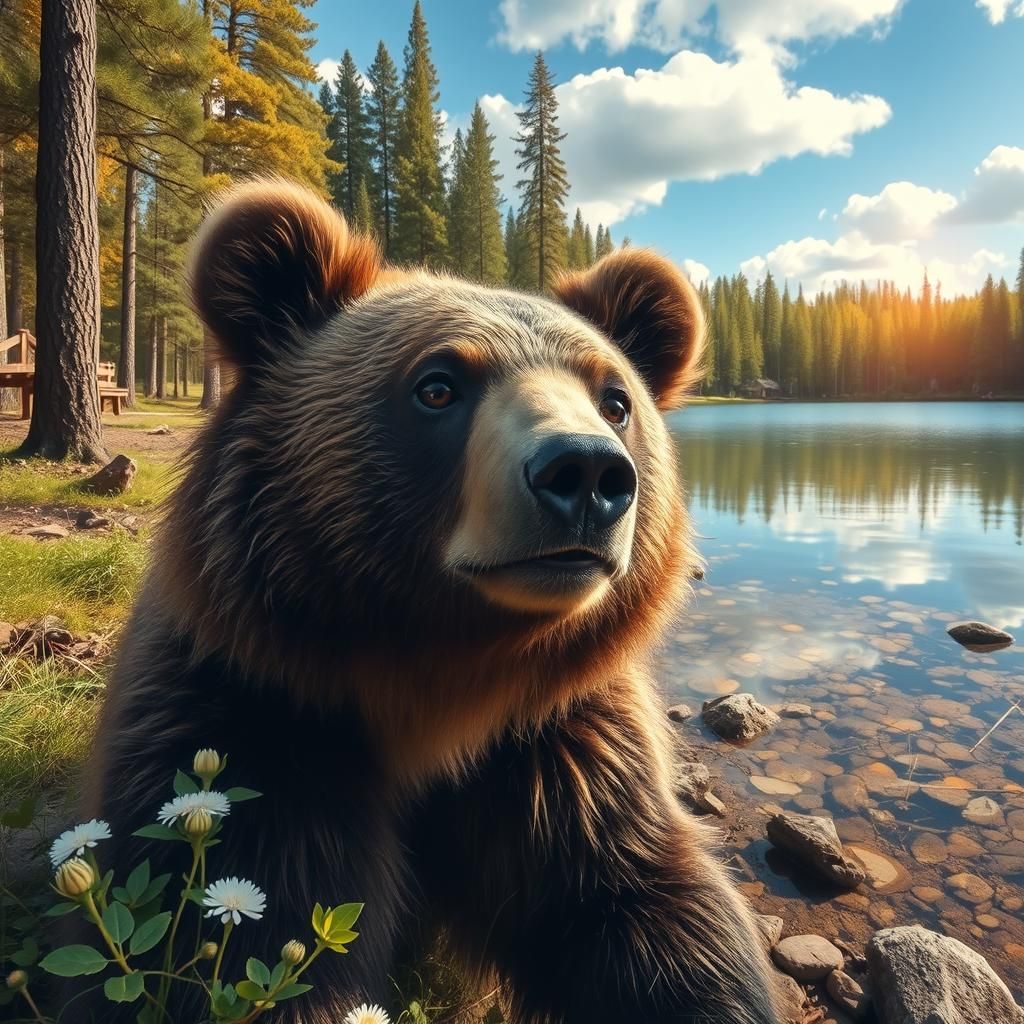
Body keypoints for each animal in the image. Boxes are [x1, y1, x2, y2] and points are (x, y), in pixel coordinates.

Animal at [84, 179, 784, 1024]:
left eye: (614, 398)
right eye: (438, 384)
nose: (586, 473)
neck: (441, 672)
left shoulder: (561, 750)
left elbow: (652, 915)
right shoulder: (255, 712)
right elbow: (254, 922)